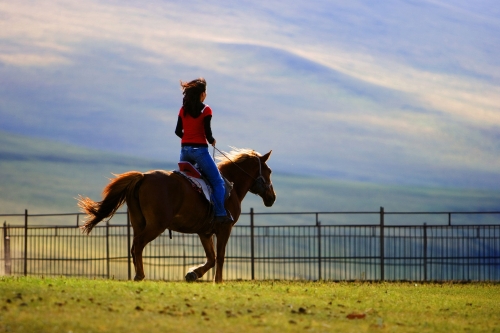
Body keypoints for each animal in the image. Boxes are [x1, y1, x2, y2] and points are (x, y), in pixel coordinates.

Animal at [77, 149, 278, 282]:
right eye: (269, 171)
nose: (272, 197)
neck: (231, 186)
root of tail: (143, 177)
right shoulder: (224, 228)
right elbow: (220, 256)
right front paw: (218, 281)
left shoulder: (204, 233)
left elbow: (211, 258)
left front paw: (193, 274)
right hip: (155, 225)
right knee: (138, 245)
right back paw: (140, 275)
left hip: (138, 223)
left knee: (134, 247)